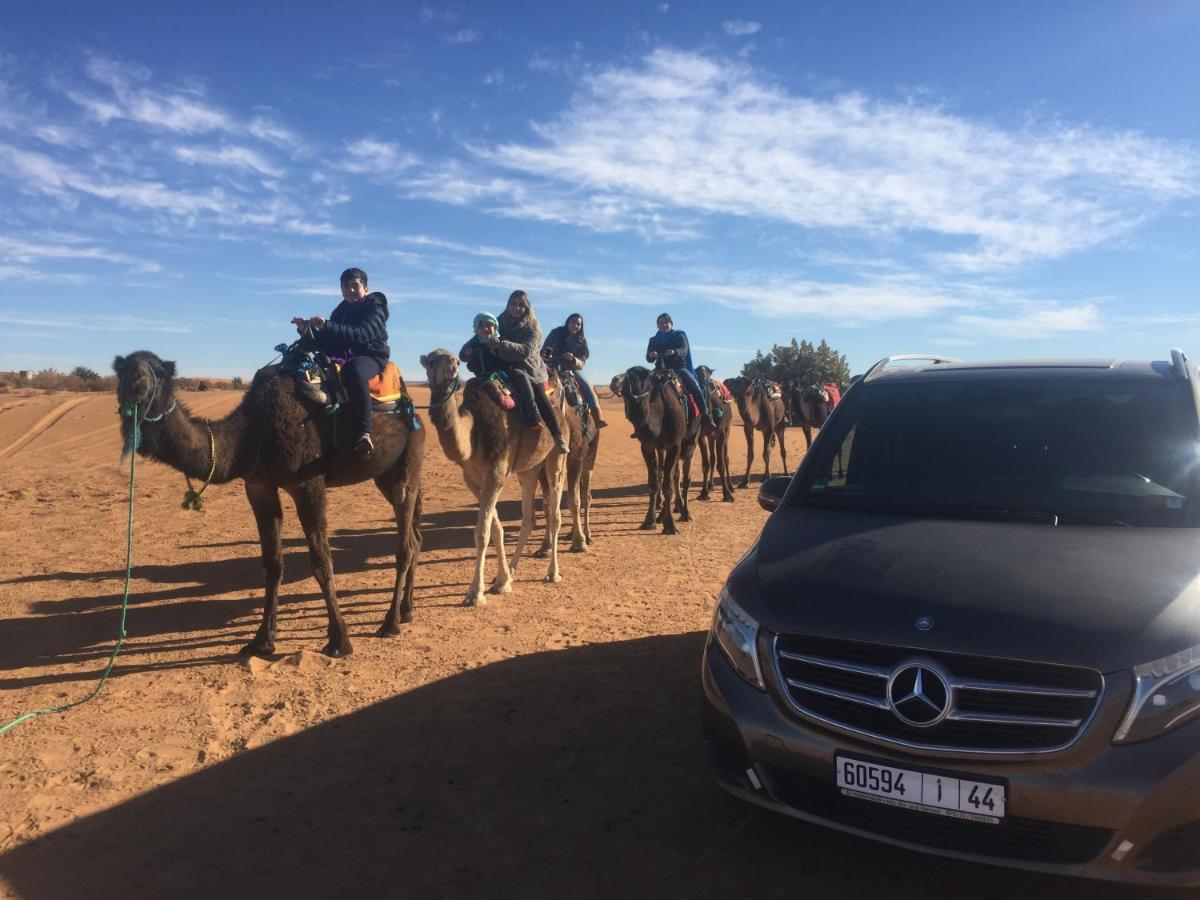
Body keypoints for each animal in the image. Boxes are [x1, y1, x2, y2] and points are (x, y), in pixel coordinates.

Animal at [112, 348, 422, 657]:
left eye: (158, 373)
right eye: (122, 369)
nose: (137, 382)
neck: (254, 432)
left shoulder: (308, 483)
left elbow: (322, 562)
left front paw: (339, 641)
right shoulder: (258, 487)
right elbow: (272, 565)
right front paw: (262, 639)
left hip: (406, 464)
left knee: (404, 542)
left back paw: (390, 623)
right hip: (383, 475)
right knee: (415, 538)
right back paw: (407, 610)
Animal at [420, 350, 568, 607]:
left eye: (455, 360)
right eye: (430, 360)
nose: (450, 368)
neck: (473, 433)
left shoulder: (496, 474)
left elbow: (482, 533)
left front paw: (475, 593)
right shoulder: (473, 480)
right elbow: (496, 529)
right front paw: (502, 581)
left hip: (555, 458)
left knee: (555, 514)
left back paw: (553, 573)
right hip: (529, 469)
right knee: (528, 517)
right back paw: (513, 569)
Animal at [614, 367, 700, 535]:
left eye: (638, 376)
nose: (615, 380)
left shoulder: (674, 444)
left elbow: (668, 486)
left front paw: (670, 525)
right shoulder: (648, 445)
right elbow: (654, 483)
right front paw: (649, 521)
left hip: (690, 442)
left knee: (685, 478)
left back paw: (686, 513)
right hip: (663, 448)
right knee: (672, 475)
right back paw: (667, 512)